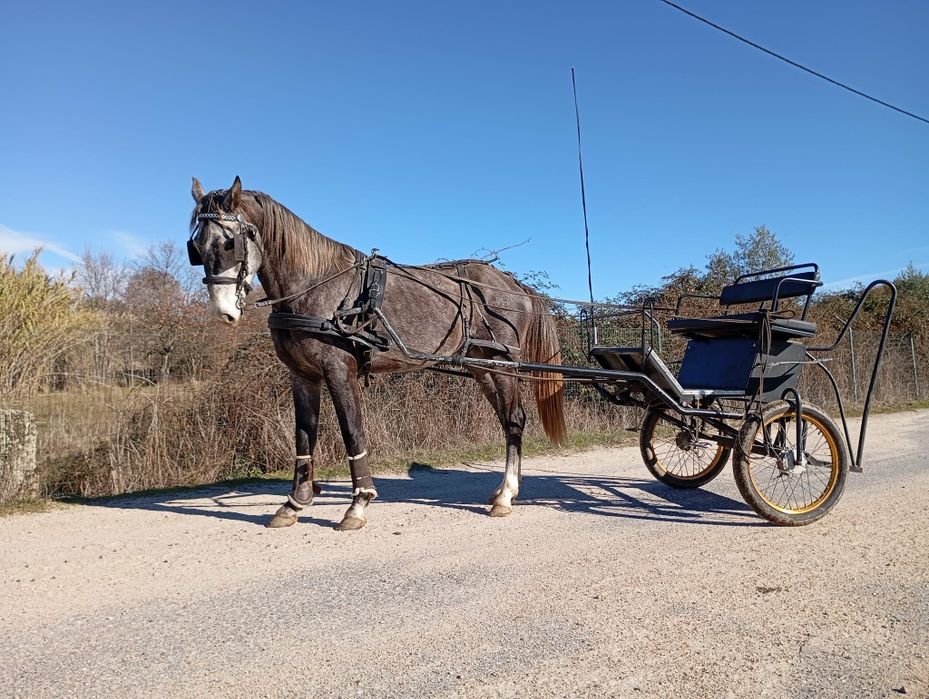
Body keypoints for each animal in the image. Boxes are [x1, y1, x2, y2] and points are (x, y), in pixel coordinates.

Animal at [188, 176, 566, 531]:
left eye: (230, 242)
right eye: (197, 246)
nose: (222, 312)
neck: (317, 286)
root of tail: (512, 284)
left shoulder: (339, 370)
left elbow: (352, 432)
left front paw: (358, 504)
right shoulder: (302, 376)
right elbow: (304, 436)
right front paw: (295, 502)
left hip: (503, 364)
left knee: (514, 420)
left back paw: (505, 496)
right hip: (482, 365)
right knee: (506, 420)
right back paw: (503, 491)